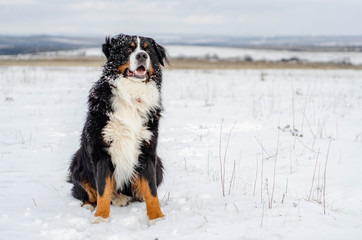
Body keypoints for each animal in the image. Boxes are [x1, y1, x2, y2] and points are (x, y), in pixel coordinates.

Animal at [68, 33, 168, 223]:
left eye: (148, 50)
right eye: (128, 49)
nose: (142, 55)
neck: (131, 96)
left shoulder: (148, 150)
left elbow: (151, 190)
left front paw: (157, 218)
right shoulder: (101, 150)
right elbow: (102, 190)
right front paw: (101, 217)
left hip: (159, 165)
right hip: (77, 163)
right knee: (87, 192)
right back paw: (90, 205)